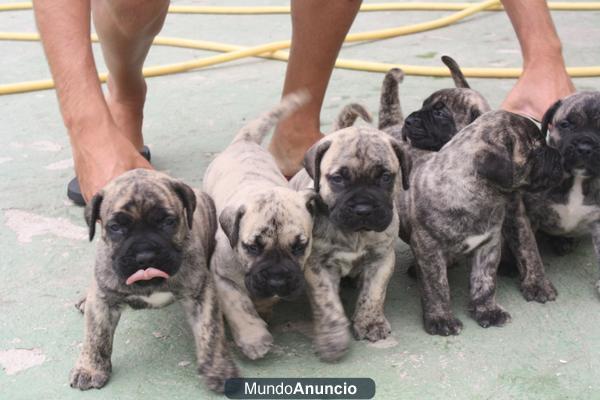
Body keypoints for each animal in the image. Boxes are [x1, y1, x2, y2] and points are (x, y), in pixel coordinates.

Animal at [70, 167, 237, 392]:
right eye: (115, 227)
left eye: (168, 222)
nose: (145, 255)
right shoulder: (102, 299)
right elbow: (96, 335)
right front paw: (90, 368)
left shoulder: (201, 294)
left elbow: (211, 332)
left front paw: (219, 369)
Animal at [203, 92, 316, 360]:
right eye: (252, 248)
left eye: (299, 247)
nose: (276, 279)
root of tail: (243, 142)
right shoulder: (223, 279)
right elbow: (240, 307)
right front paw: (254, 339)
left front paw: (264, 307)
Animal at [290, 123, 412, 360]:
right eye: (338, 178)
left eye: (385, 177)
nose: (363, 209)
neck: (356, 234)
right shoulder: (318, 267)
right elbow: (327, 301)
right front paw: (332, 337)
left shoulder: (381, 259)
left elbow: (373, 293)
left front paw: (370, 323)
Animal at [400, 111, 564, 336]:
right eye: (537, 149)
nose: (559, 155)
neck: (474, 191)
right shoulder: (428, 248)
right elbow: (436, 286)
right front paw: (441, 318)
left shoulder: (488, 245)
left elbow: (485, 280)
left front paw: (487, 310)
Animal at [504, 93, 600, 300]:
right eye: (565, 125)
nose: (585, 146)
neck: (577, 180)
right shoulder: (525, 214)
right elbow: (529, 248)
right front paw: (537, 283)